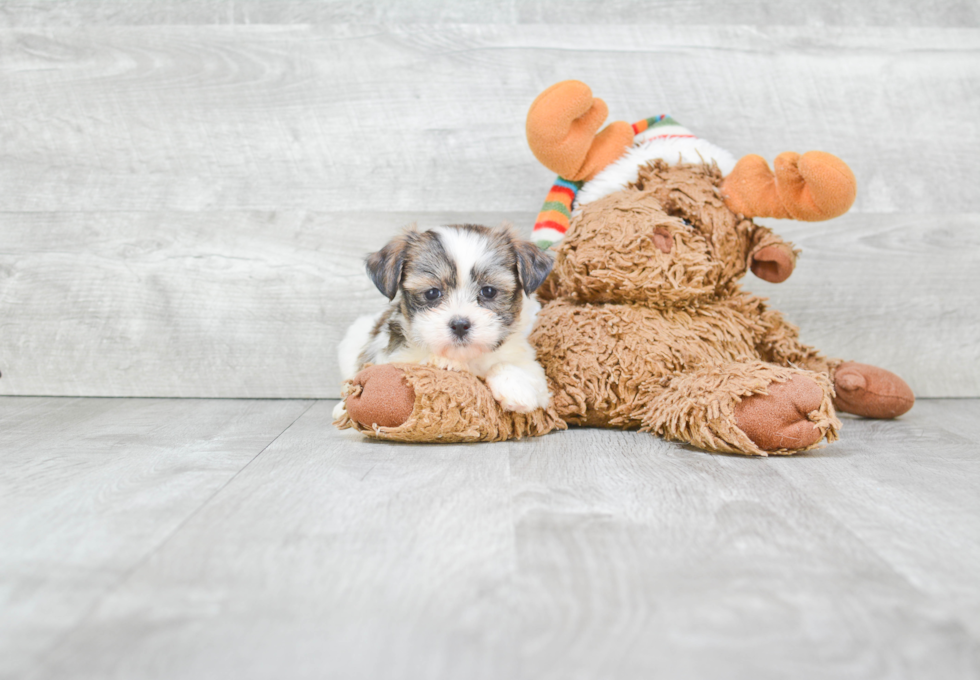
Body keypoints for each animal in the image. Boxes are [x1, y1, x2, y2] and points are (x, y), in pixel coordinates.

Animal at [334, 223, 552, 418]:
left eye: (489, 291)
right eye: (432, 293)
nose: (460, 325)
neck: (466, 357)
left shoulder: (530, 366)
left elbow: (507, 365)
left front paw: (516, 388)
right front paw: (443, 362)